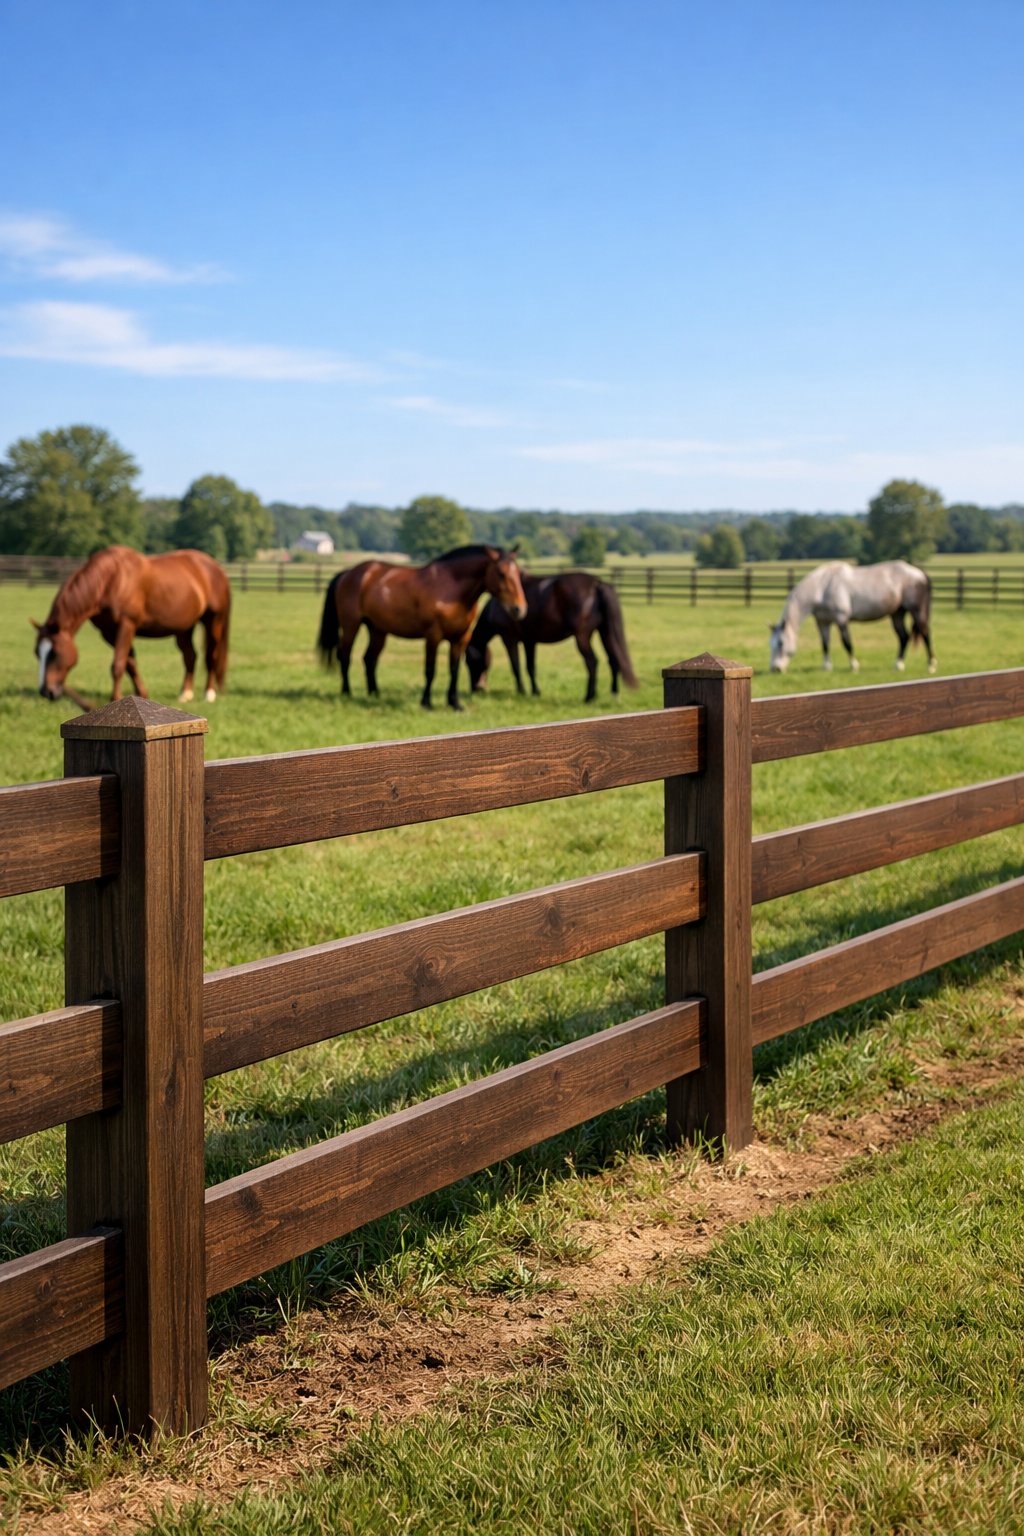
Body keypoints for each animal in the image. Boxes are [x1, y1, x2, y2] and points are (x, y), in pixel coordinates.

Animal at [32, 545, 232, 704]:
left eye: (55, 653)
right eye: (37, 653)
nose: (46, 692)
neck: (110, 580)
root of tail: (215, 567)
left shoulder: (126, 625)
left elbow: (118, 664)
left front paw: (114, 698)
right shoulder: (109, 633)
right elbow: (130, 663)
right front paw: (142, 695)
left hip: (213, 620)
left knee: (210, 655)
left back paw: (209, 694)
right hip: (183, 627)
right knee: (190, 656)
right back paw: (186, 694)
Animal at [317, 544, 527, 710]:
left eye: (518, 574)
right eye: (501, 574)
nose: (519, 609)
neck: (451, 589)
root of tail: (348, 573)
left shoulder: (460, 638)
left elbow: (454, 669)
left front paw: (454, 703)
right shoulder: (433, 636)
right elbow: (430, 669)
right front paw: (426, 702)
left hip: (377, 630)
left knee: (369, 659)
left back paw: (374, 693)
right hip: (351, 625)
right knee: (344, 655)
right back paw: (347, 692)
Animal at [465, 571, 639, 702]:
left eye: (469, 661)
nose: (475, 689)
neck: (498, 606)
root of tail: (597, 584)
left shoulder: (509, 639)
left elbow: (515, 666)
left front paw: (521, 691)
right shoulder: (529, 641)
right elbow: (530, 667)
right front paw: (535, 691)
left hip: (582, 637)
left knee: (592, 662)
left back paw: (589, 697)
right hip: (605, 632)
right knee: (614, 660)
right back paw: (614, 694)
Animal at [768, 560, 935, 675]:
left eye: (781, 643)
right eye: (771, 644)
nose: (775, 668)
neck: (823, 587)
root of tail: (920, 573)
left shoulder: (841, 619)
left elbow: (847, 643)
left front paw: (854, 666)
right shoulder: (823, 622)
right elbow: (825, 644)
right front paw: (826, 667)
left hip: (916, 611)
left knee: (925, 633)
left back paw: (931, 665)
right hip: (897, 614)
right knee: (903, 637)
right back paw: (898, 665)